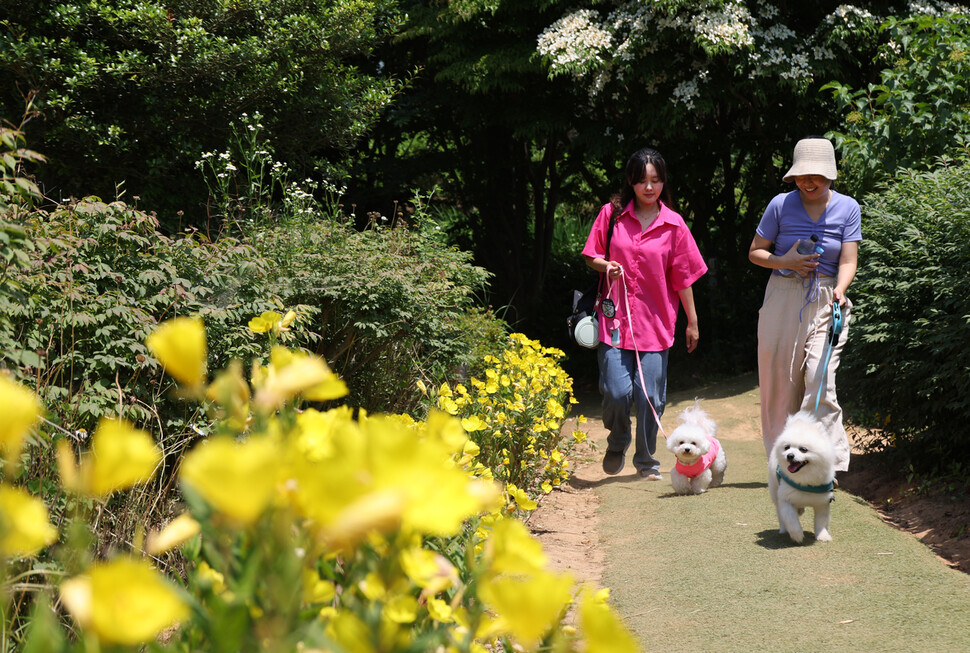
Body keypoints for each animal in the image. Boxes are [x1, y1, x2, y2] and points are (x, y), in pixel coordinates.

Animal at [768, 410, 836, 544]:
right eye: (787, 447)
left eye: (803, 449)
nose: (789, 455)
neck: (805, 481)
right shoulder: (785, 499)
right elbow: (791, 519)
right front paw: (797, 535)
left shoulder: (823, 503)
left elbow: (821, 522)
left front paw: (823, 535)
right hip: (775, 492)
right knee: (780, 514)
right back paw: (783, 529)